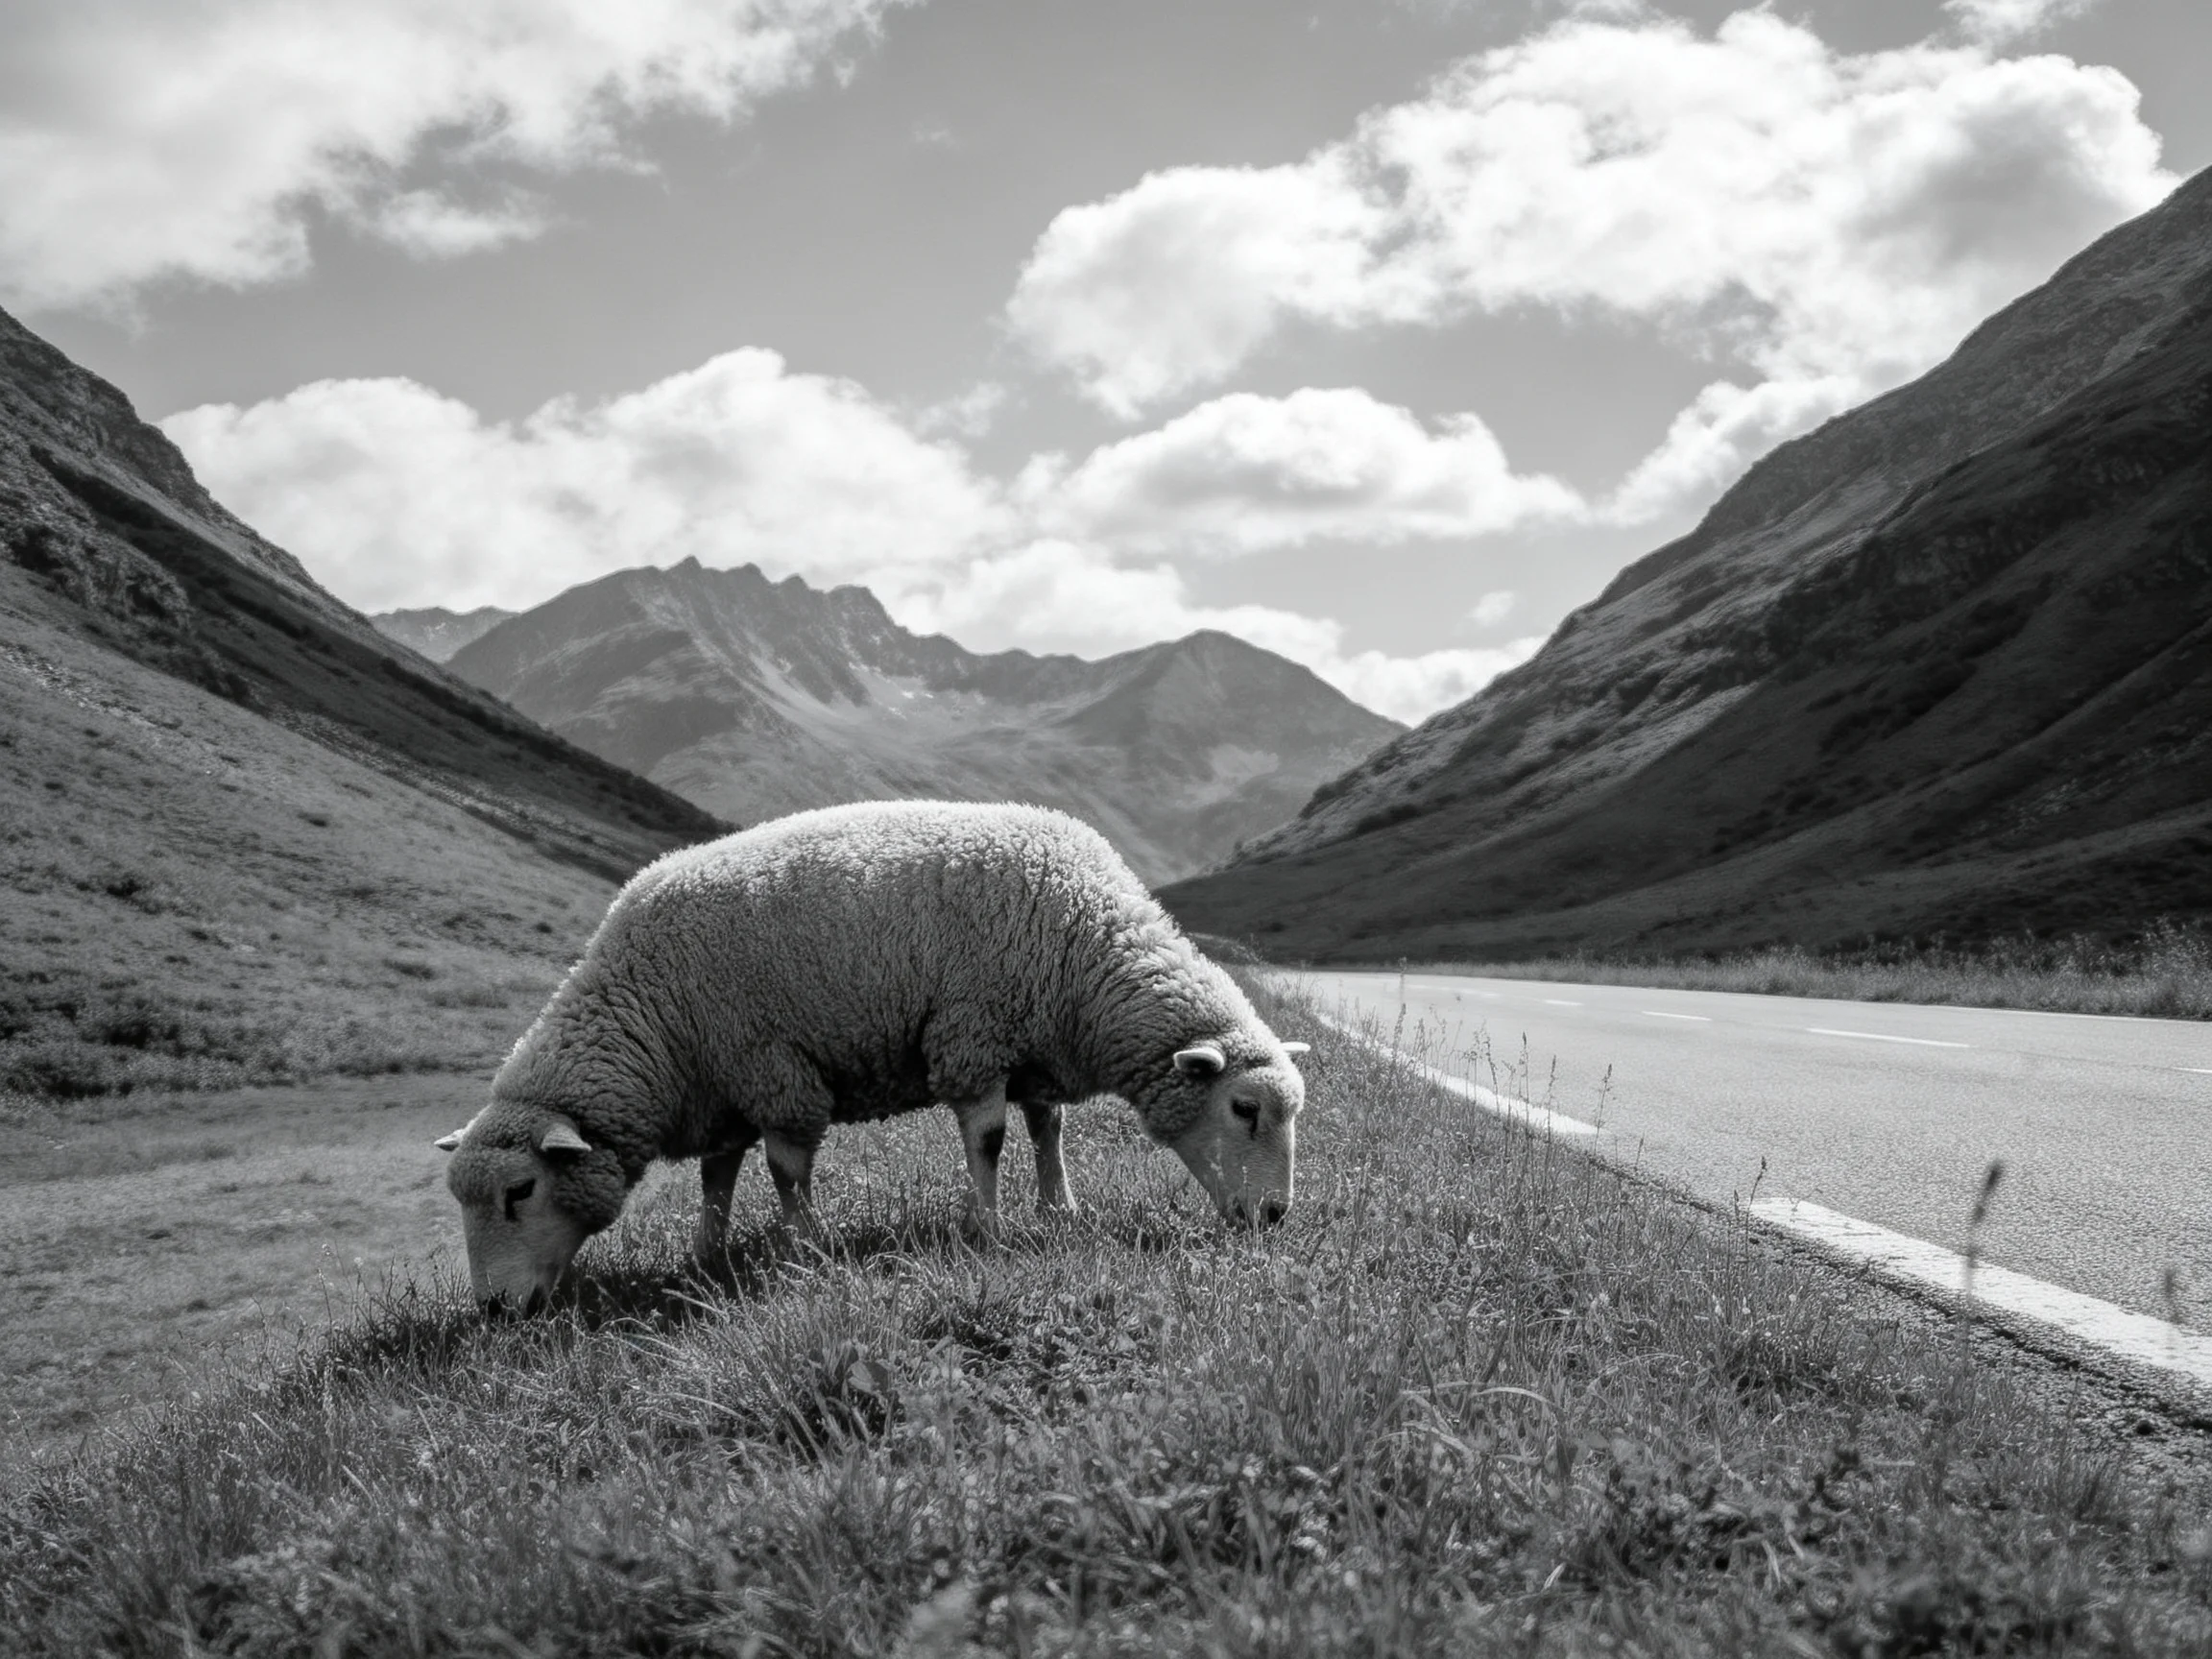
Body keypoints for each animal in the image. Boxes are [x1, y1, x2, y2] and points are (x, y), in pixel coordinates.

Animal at [436, 800, 1309, 1312]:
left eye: (518, 1191)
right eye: (1244, 1108)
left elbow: (1036, 1132)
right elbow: (769, 1170)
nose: (1275, 1218)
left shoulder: (1003, 1039)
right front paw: (775, 1251)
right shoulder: (801, 1061)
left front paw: (1049, 1211)